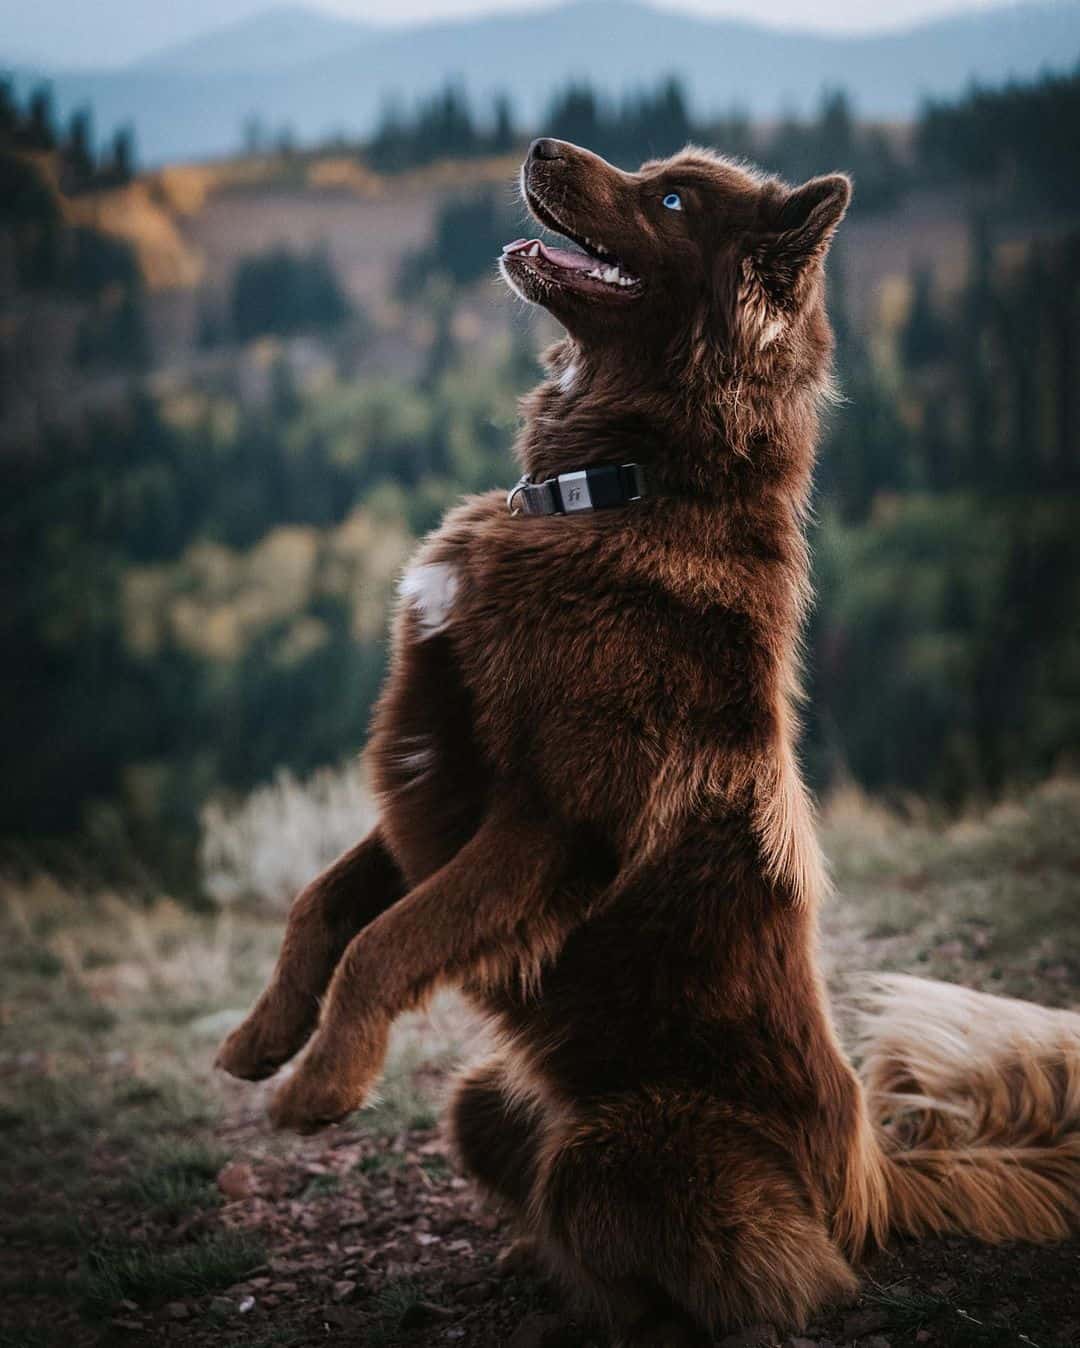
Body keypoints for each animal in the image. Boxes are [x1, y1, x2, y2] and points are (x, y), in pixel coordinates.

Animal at [218, 139, 1078, 1348]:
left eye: (670, 197)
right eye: (655, 167)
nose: (538, 144)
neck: (606, 493)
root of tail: (870, 1177)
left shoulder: (546, 825)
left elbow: (386, 940)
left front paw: (321, 1089)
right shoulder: (439, 783)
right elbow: (323, 908)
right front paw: (261, 1042)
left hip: (617, 1151)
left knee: (756, 1285)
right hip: (487, 1099)